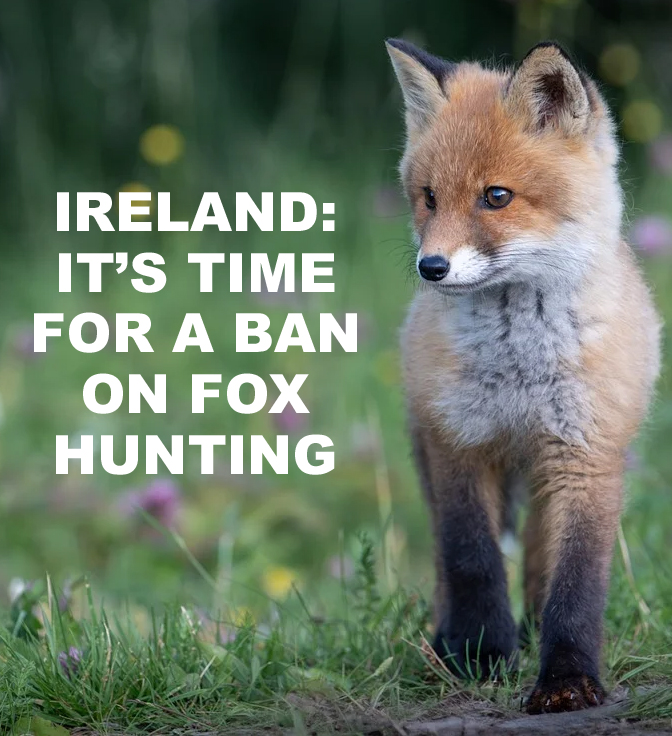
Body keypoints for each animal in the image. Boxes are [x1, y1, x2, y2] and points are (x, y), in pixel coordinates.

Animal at [386, 39, 661, 714]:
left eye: (497, 197)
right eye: (429, 197)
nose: (431, 267)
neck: (518, 368)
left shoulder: (585, 456)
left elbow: (576, 583)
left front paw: (566, 680)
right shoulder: (459, 444)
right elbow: (473, 561)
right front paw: (481, 656)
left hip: (544, 476)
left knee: (538, 560)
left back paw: (533, 629)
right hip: (429, 452)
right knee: (445, 562)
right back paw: (445, 641)